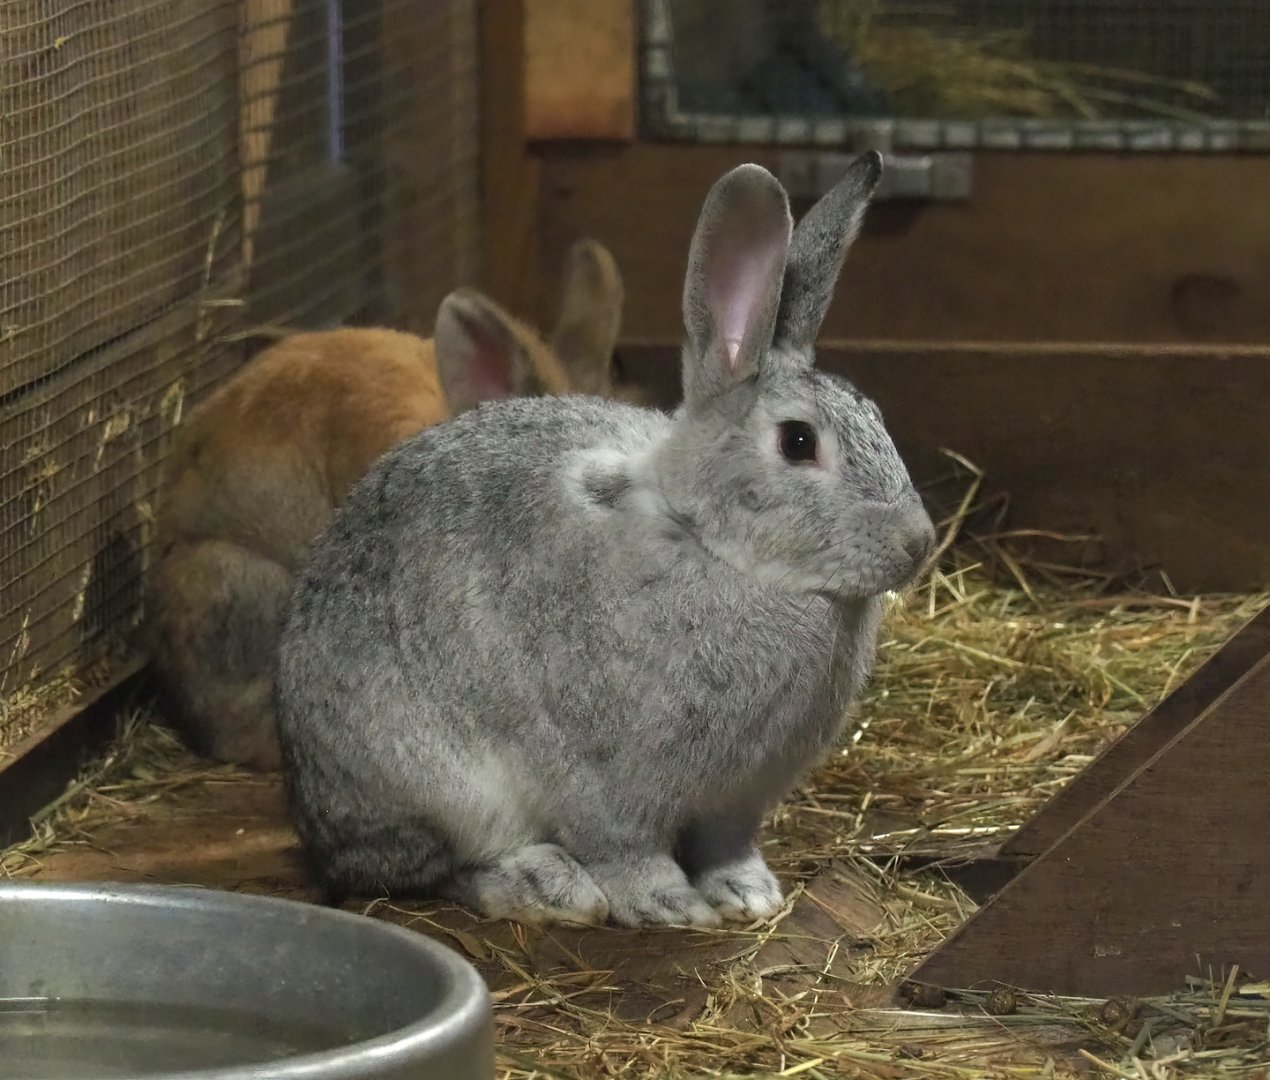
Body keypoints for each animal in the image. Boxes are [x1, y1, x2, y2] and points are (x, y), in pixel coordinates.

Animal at [275, 151, 936, 928]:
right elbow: (625, 846)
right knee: (451, 866)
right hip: (439, 787)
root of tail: (312, 815)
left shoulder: (735, 802)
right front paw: (670, 905)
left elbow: (725, 844)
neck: (707, 541)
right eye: (799, 442)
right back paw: (551, 888)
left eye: (877, 414)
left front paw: (748, 893)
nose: (918, 543)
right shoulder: (606, 786)